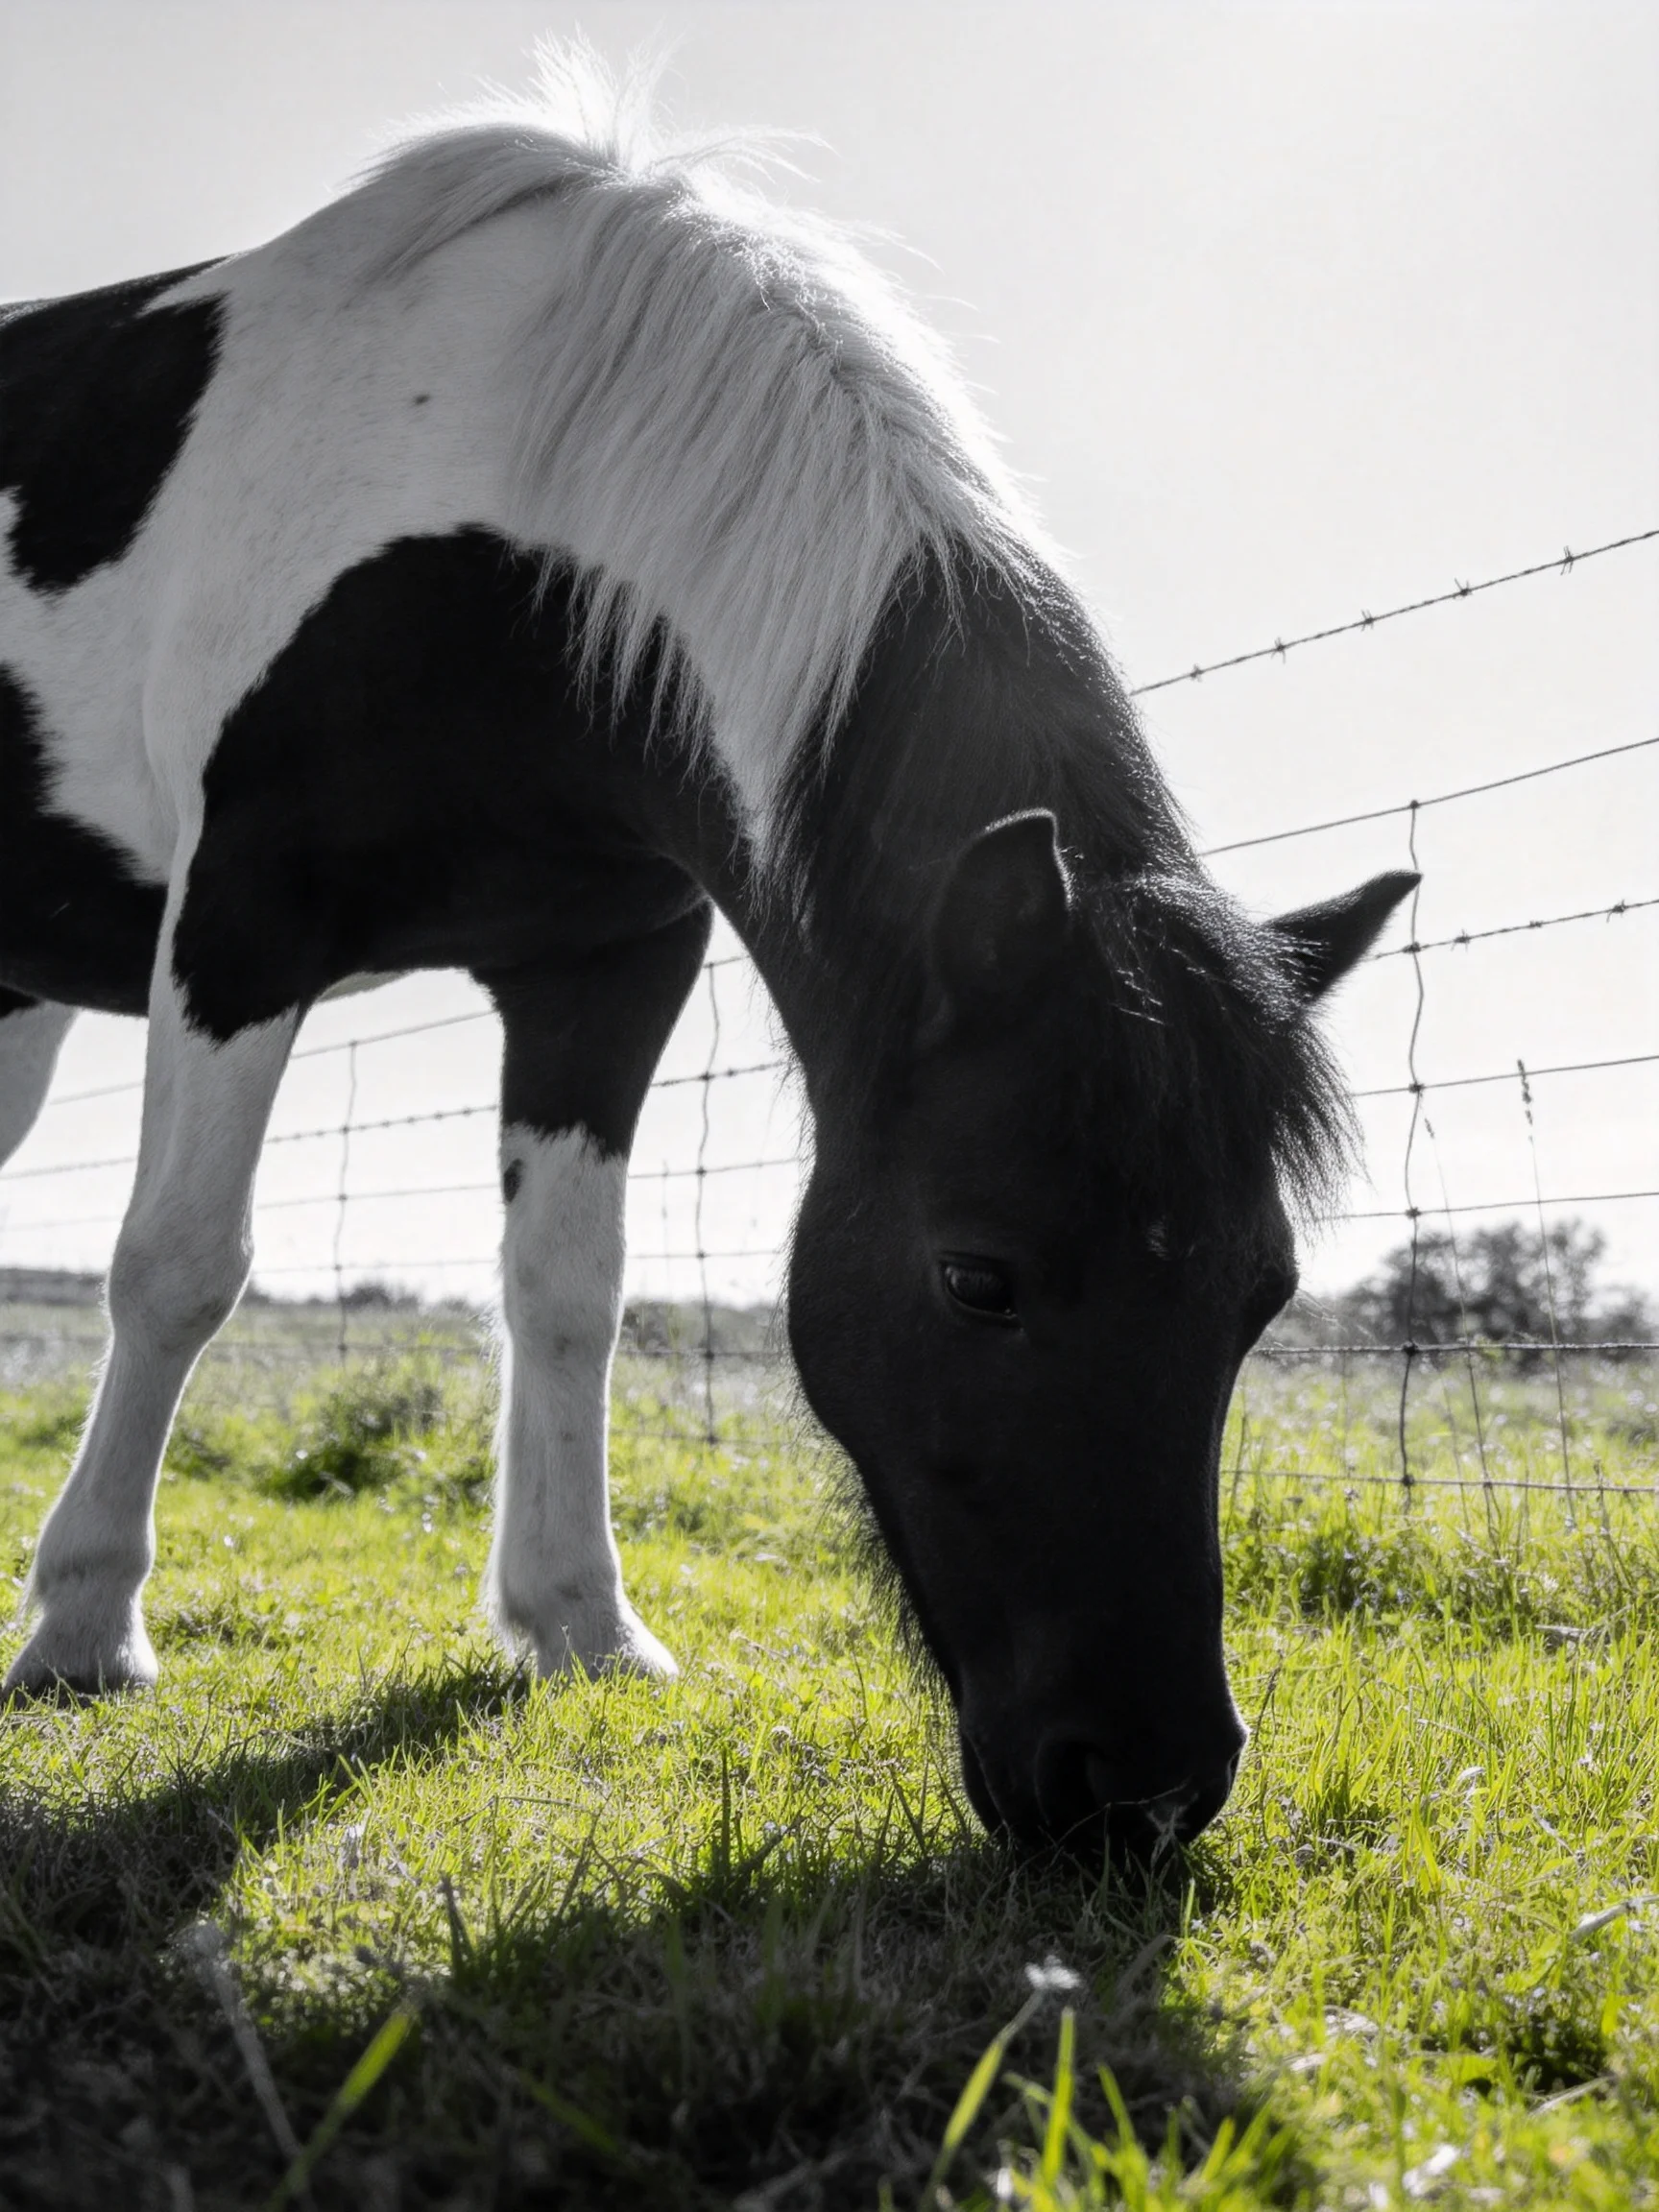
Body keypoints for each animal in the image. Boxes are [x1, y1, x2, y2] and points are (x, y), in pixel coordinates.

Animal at [0, 57, 1412, 1859]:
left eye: (1266, 1292)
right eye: (979, 1276)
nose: (1142, 1791)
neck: (511, 510)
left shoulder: (604, 969)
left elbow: (567, 1290)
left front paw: (577, 1622)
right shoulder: (244, 920)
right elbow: (179, 1265)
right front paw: (83, 1625)